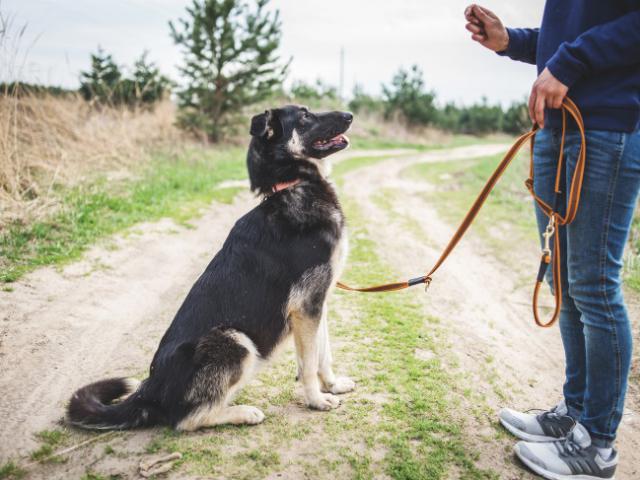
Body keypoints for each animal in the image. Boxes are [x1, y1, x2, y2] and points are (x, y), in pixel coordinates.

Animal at [67, 105, 358, 432]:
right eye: (305, 116)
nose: (349, 115)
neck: (293, 185)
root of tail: (149, 391)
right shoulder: (306, 308)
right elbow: (308, 364)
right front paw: (316, 400)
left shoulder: (317, 305)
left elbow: (323, 354)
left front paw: (332, 385)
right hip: (236, 341)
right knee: (186, 419)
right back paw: (243, 413)